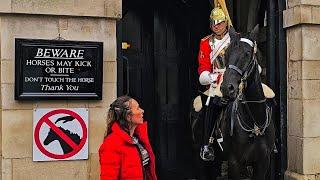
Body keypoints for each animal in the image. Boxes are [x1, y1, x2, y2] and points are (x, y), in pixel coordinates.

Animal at [220, 25, 276, 180]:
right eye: (226, 54)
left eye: (247, 54)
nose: (227, 88)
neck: (255, 121)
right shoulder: (234, 163)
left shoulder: (263, 163)